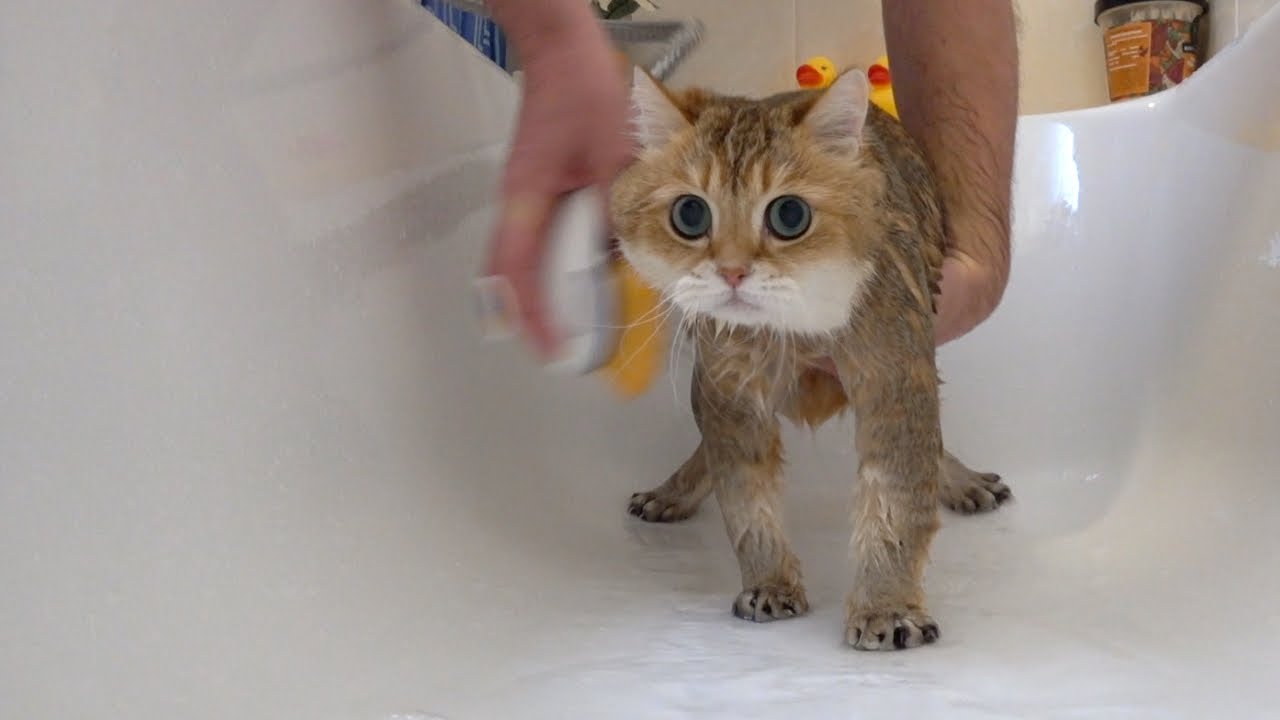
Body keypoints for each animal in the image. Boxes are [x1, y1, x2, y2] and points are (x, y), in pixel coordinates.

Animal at [606, 68, 1008, 650]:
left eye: (789, 214)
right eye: (690, 213)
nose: (732, 271)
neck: (791, 334)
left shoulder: (897, 374)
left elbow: (897, 500)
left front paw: (887, 607)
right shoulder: (728, 390)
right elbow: (747, 503)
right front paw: (769, 583)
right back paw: (673, 490)